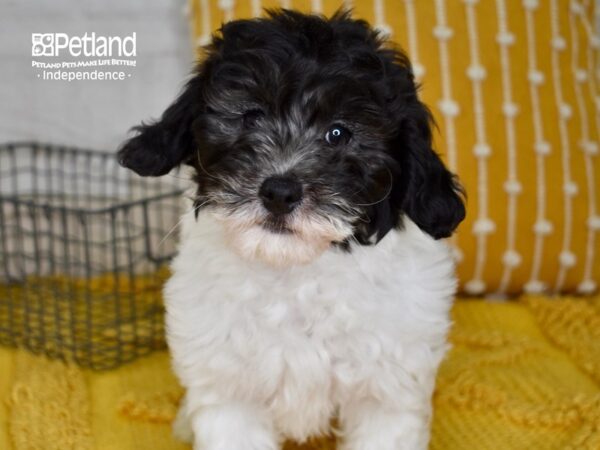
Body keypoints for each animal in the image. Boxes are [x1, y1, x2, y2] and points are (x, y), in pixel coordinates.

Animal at [117, 9, 464, 450]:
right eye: (251, 116)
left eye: (339, 133)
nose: (280, 192)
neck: (295, 272)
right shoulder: (228, 387)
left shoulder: (389, 387)